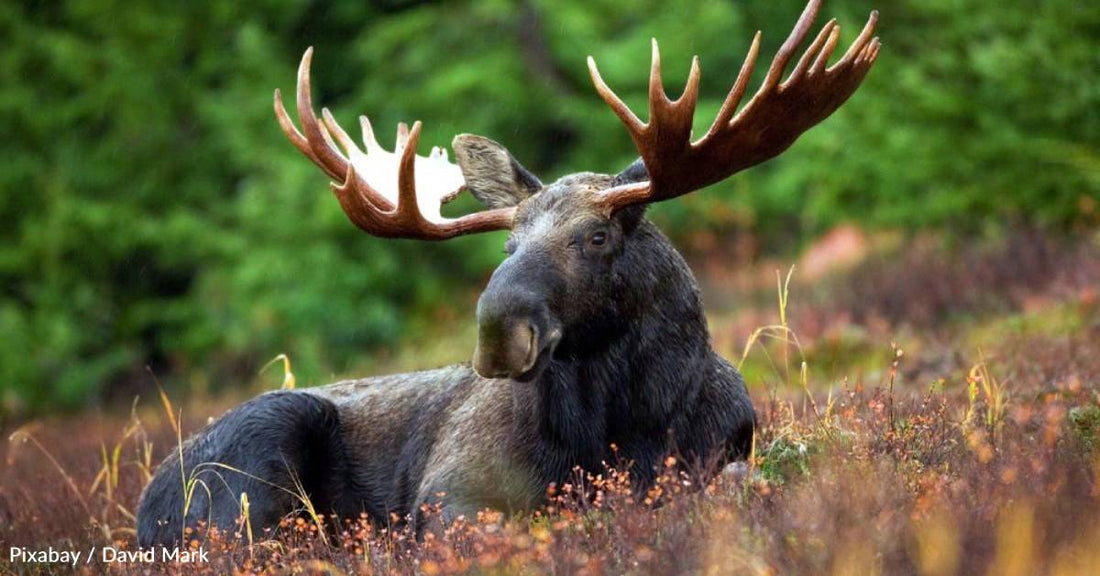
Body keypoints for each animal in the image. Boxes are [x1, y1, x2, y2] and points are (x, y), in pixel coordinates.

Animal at [137, 0, 879, 546]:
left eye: (597, 235)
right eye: (507, 245)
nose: (499, 332)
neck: (627, 427)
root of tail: (145, 507)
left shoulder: (727, 454)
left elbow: (739, 485)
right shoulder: (451, 494)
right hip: (258, 459)